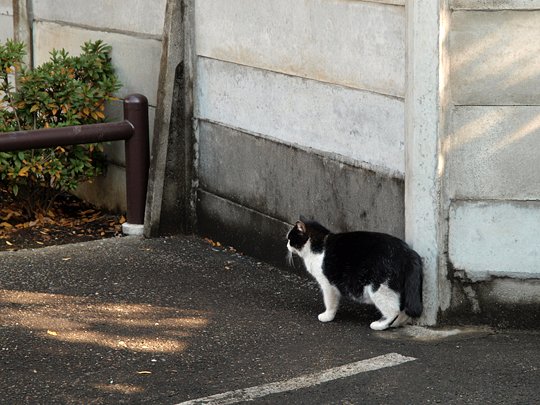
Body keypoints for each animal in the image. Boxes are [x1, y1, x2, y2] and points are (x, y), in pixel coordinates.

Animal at [288, 219, 424, 330]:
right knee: (403, 311)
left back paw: (380, 325)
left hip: (379, 288)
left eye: (290, 238)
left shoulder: (327, 284)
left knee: (394, 310)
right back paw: (396, 324)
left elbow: (330, 302)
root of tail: (408, 252)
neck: (319, 245)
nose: (287, 245)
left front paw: (327, 316)